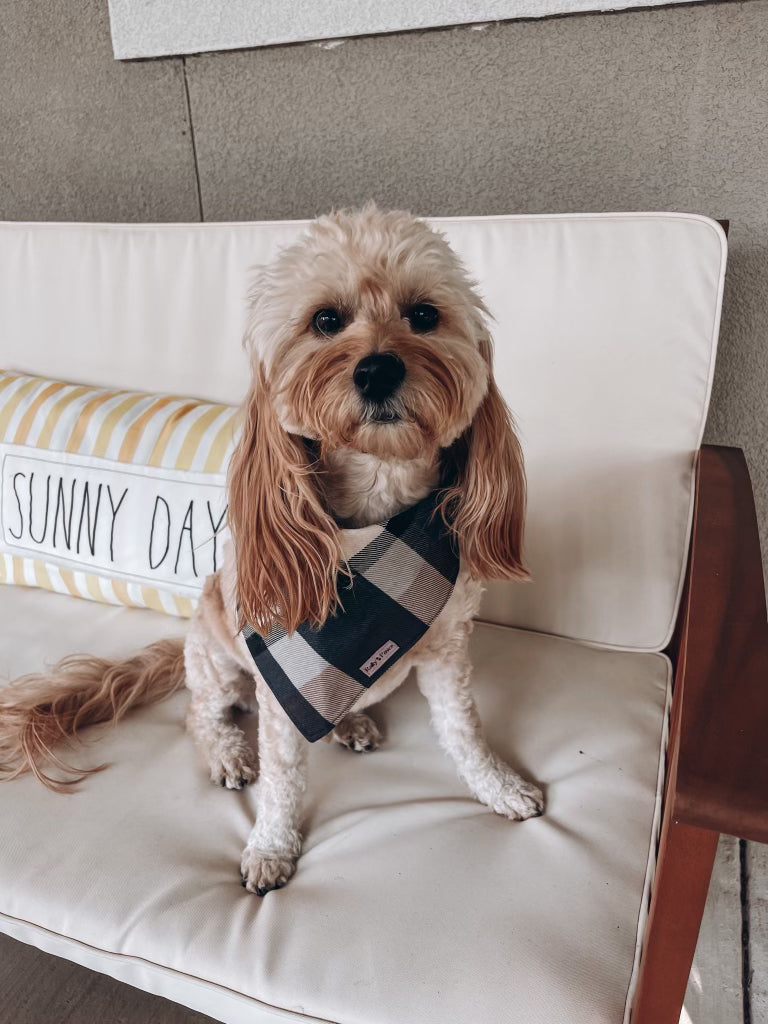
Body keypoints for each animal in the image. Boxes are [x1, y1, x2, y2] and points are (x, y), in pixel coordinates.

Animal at [0, 203, 544, 892]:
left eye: (424, 314)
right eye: (326, 320)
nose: (377, 369)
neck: (381, 510)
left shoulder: (448, 652)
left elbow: (464, 729)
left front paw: (498, 787)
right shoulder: (281, 683)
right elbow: (283, 779)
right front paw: (270, 846)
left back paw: (351, 721)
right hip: (217, 662)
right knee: (201, 714)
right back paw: (231, 753)